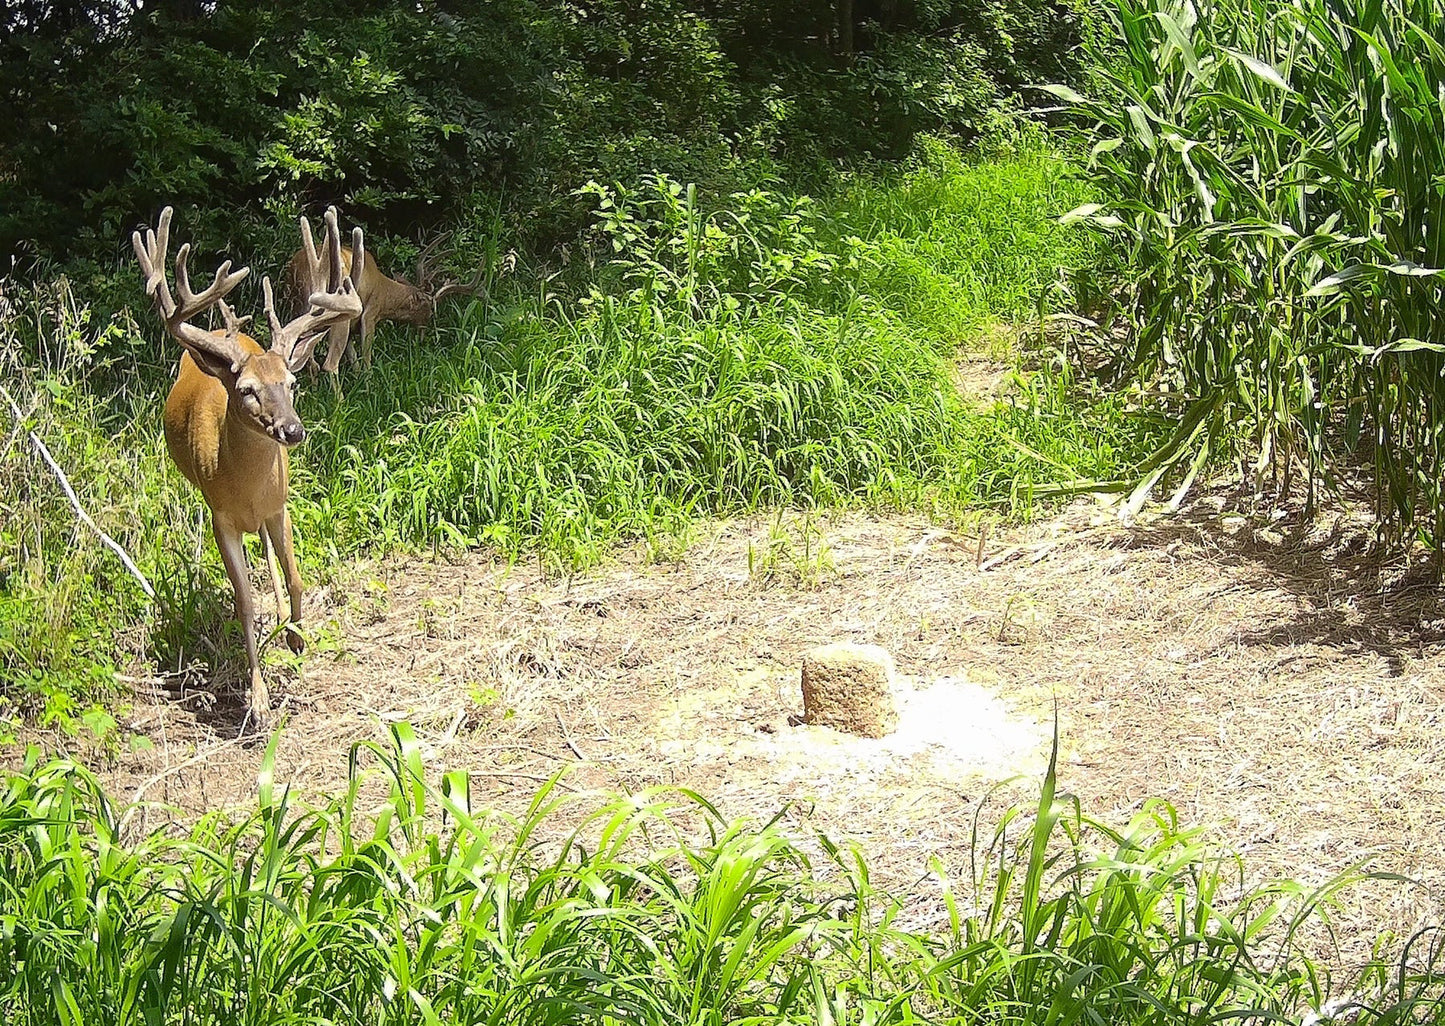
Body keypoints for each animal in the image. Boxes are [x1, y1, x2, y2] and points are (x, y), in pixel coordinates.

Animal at [132, 205, 363, 728]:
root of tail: (220, 334)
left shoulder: (280, 506)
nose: (293, 431)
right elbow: (244, 600)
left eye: (292, 383)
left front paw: (298, 639)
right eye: (247, 390)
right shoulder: (221, 517)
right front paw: (257, 700)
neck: (248, 487)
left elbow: (295, 577)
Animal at [283, 231, 485, 377]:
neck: (384, 289)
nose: (423, 337)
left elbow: (353, 357)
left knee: (306, 359)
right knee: (328, 364)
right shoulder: (370, 313)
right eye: (431, 311)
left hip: (299, 307)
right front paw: (368, 381)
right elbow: (365, 355)